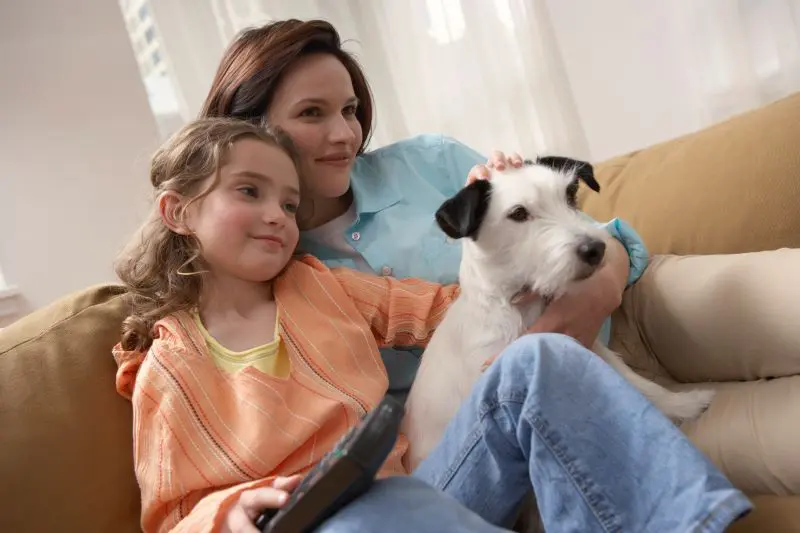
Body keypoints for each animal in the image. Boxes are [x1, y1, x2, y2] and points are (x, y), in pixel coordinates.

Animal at [404, 157, 716, 470]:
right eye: (518, 213)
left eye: (569, 195)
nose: (596, 249)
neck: (519, 304)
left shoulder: (594, 349)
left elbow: (640, 383)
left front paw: (682, 404)